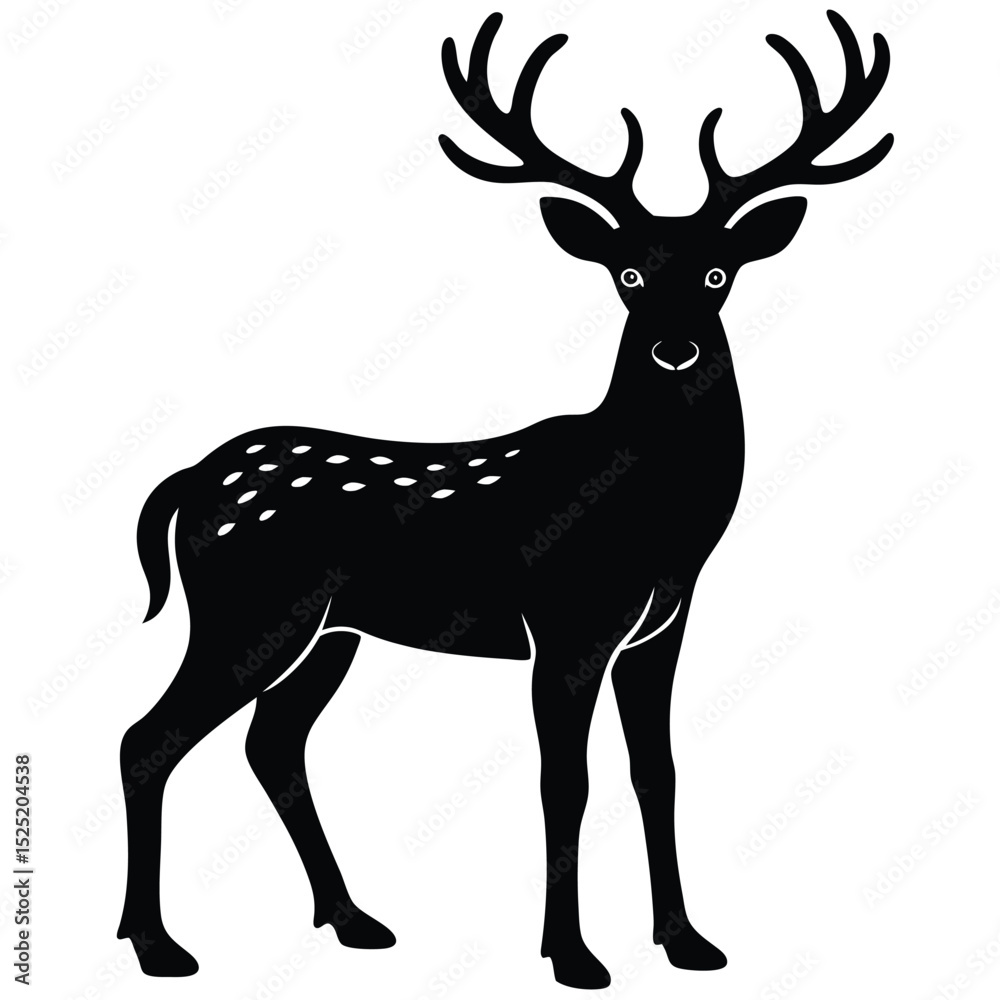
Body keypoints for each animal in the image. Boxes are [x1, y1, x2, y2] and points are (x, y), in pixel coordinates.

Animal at [116, 9, 891, 989]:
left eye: (720, 273)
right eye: (627, 275)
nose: (675, 348)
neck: (659, 523)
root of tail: (187, 481)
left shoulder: (661, 627)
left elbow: (658, 772)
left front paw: (687, 942)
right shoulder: (566, 623)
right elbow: (566, 781)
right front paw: (573, 956)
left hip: (328, 632)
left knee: (272, 745)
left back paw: (353, 920)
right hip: (246, 611)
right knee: (148, 739)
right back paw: (157, 945)